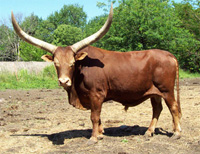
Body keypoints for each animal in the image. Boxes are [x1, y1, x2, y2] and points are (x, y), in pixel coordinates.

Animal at [11, 4, 182, 144]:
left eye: (72, 63)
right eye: (56, 63)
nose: (64, 81)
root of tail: (169, 55)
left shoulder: (96, 94)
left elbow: (94, 116)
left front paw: (93, 138)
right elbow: (98, 116)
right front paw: (100, 134)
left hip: (166, 89)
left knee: (173, 107)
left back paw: (177, 133)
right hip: (154, 92)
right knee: (157, 108)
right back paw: (149, 132)